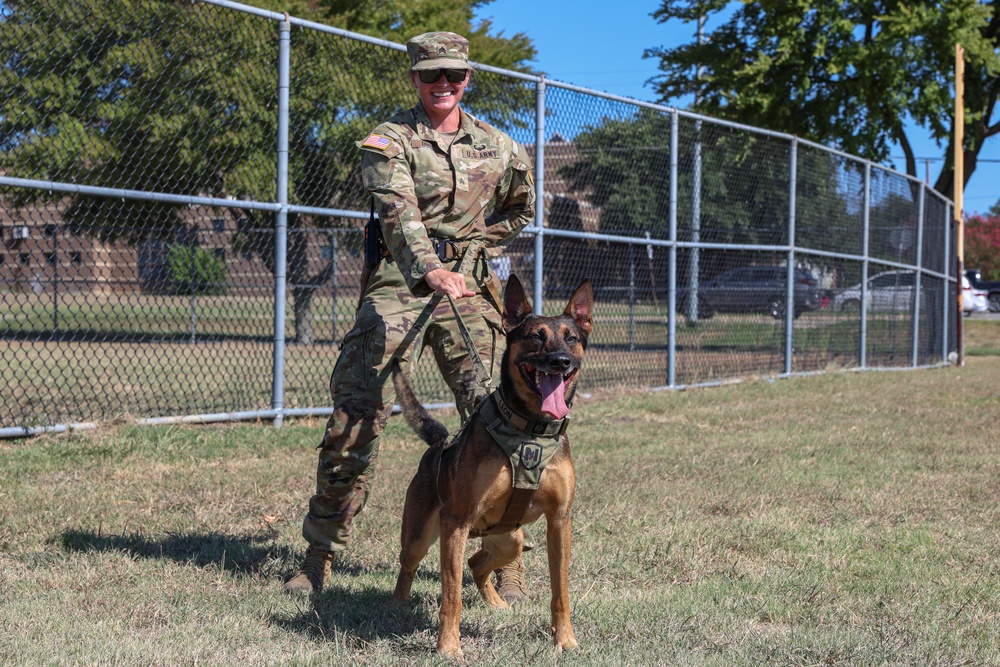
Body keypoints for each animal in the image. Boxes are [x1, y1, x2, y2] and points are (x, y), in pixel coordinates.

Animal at [390, 272, 592, 656]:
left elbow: (561, 591)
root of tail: (439, 442)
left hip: (510, 539)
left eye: (571, 338)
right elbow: (451, 595)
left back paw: (496, 602)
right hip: (421, 535)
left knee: (476, 564)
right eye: (535, 337)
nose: (560, 361)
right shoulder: (455, 523)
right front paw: (448, 647)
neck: (530, 429)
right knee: (409, 566)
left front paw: (566, 639)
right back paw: (398, 604)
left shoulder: (560, 521)